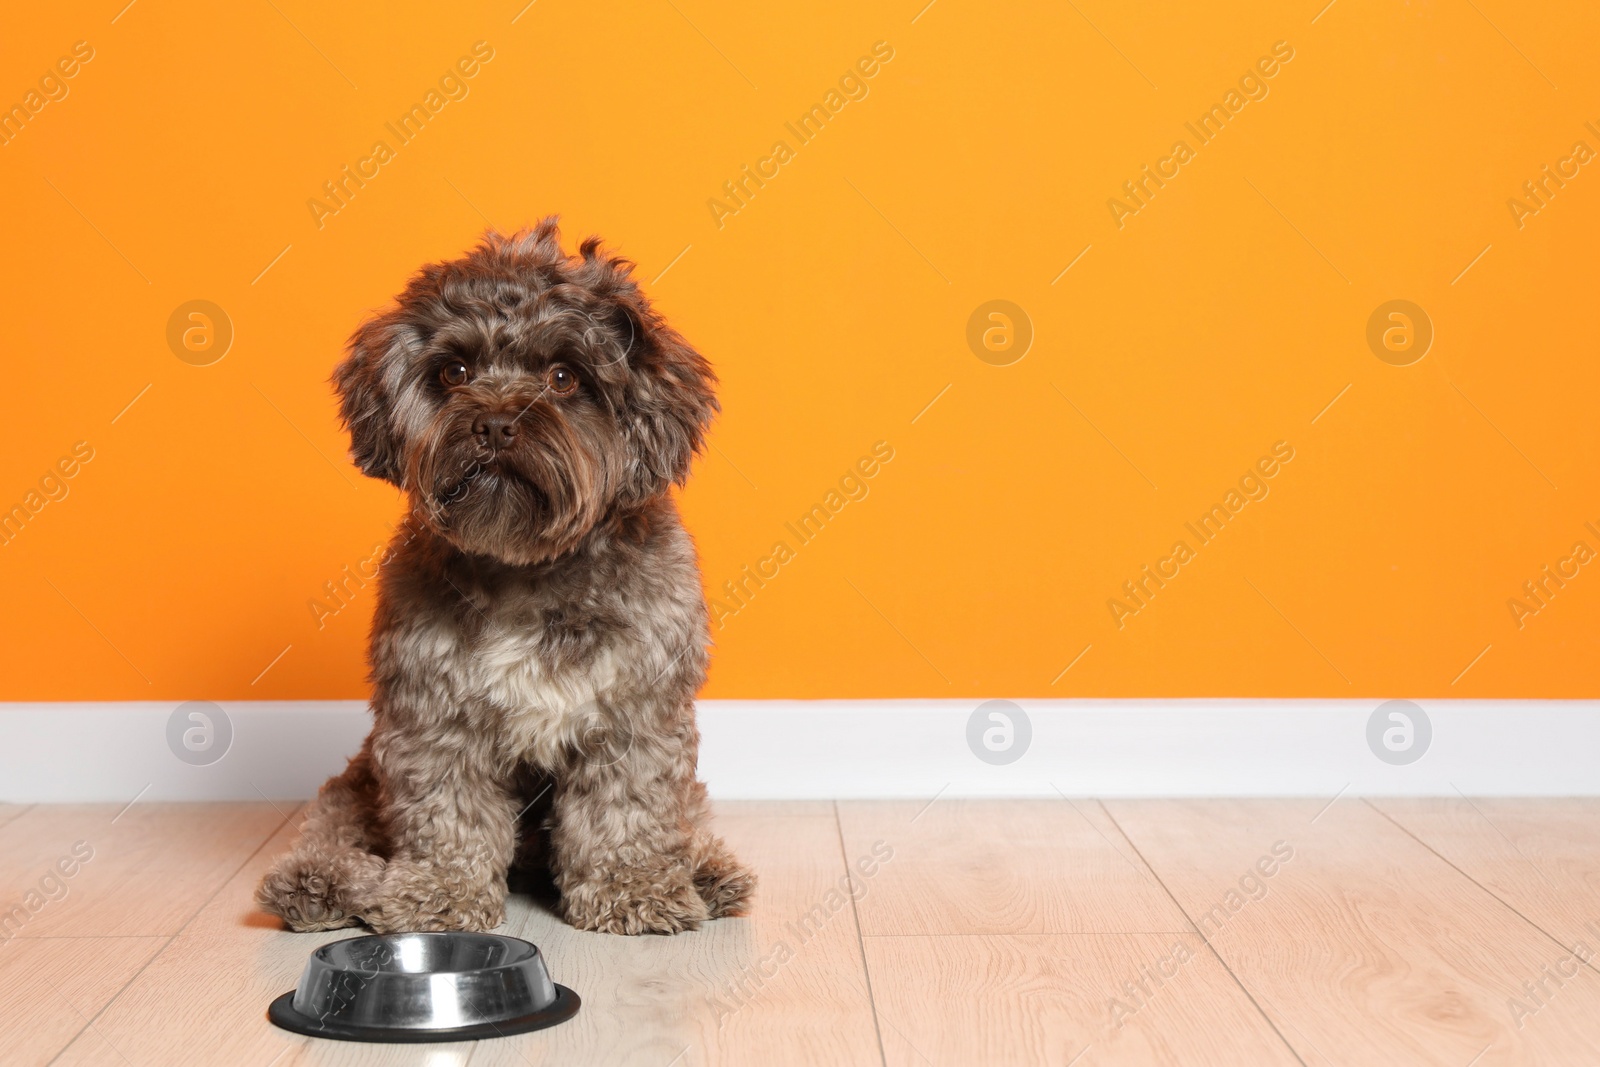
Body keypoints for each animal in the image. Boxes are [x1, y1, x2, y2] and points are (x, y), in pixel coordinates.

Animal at [256, 219, 755, 934]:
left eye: (564, 375)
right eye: (454, 370)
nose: (493, 423)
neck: (529, 570)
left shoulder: (635, 713)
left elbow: (627, 809)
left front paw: (632, 887)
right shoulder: (433, 718)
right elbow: (448, 815)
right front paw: (438, 893)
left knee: (688, 813)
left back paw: (708, 870)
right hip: (362, 772)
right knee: (336, 815)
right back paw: (316, 881)